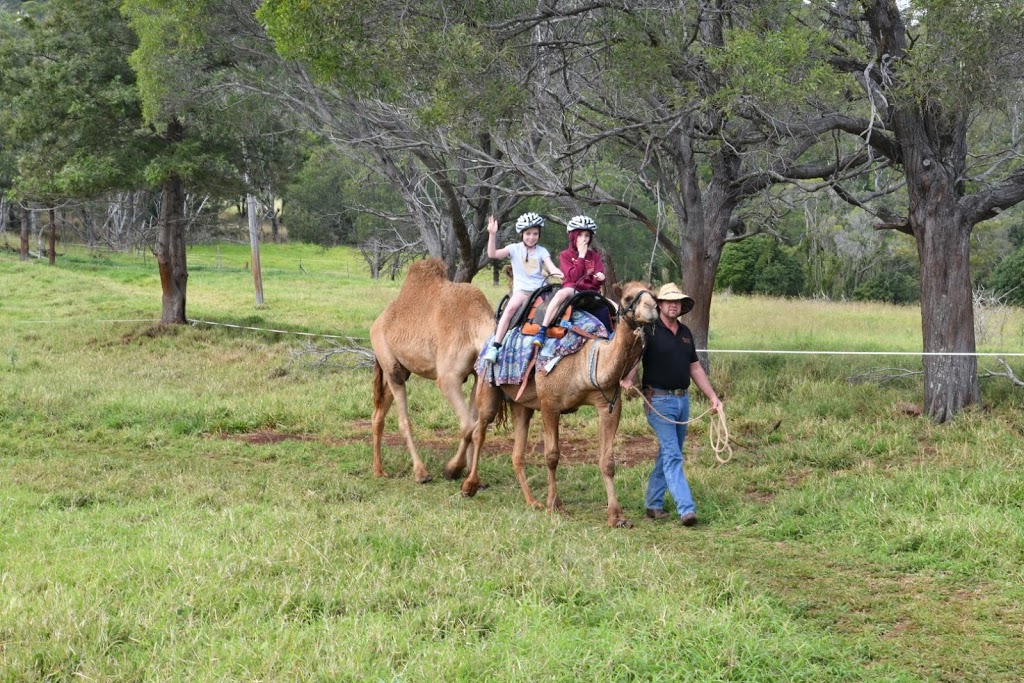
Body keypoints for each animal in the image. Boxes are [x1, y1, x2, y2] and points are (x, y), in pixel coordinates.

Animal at [370, 258, 493, 485]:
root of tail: (376, 323)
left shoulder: (476, 374)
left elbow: (474, 425)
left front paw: (472, 478)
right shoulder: (448, 377)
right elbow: (468, 426)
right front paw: (453, 469)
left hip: (400, 370)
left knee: (378, 414)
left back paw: (378, 470)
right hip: (390, 365)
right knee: (403, 420)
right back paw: (421, 473)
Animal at [460, 280, 659, 528]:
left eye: (654, 295)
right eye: (628, 298)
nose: (653, 308)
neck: (587, 357)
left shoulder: (608, 404)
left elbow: (608, 461)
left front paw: (617, 516)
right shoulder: (550, 402)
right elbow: (552, 456)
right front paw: (555, 505)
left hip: (521, 404)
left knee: (517, 452)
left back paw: (532, 501)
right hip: (487, 384)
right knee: (480, 430)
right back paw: (469, 486)